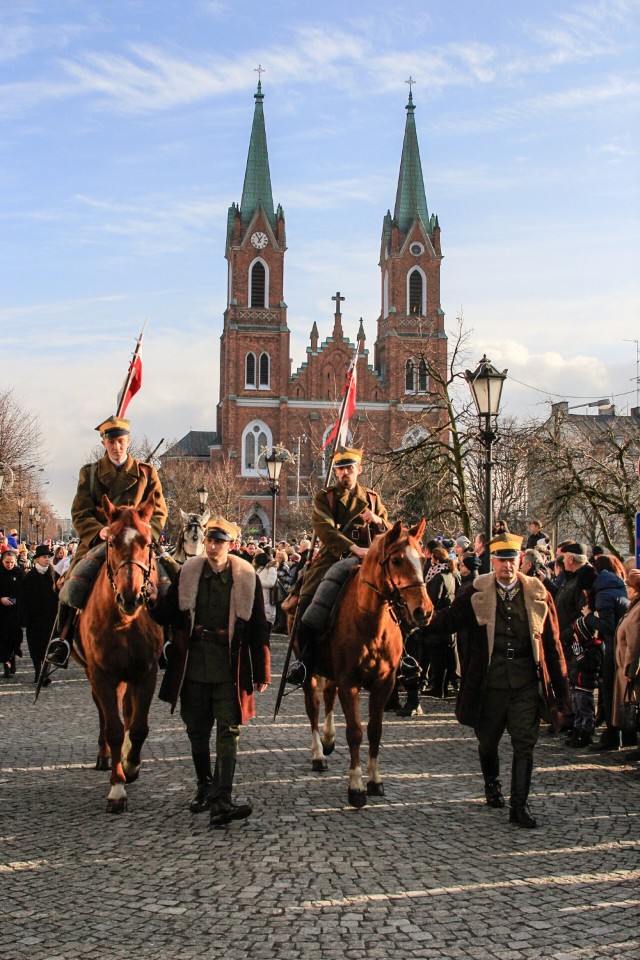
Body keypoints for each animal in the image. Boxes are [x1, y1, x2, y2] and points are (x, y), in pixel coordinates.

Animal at [75, 496, 165, 808]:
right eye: (111, 541)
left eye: (148, 542)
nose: (131, 596)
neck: (125, 621)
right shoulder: (102, 673)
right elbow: (113, 726)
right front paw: (117, 787)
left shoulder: (147, 671)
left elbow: (138, 726)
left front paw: (131, 765)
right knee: (104, 713)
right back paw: (104, 757)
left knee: (127, 711)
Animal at [292, 520, 432, 808]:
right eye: (397, 560)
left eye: (423, 559)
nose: (423, 611)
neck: (371, 622)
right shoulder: (350, 682)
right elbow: (355, 731)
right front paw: (356, 787)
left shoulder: (384, 684)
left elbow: (375, 731)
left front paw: (375, 781)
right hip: (309, 671)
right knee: (314, 707)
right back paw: (318, 754)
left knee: (328, 696)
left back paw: (328, 739)